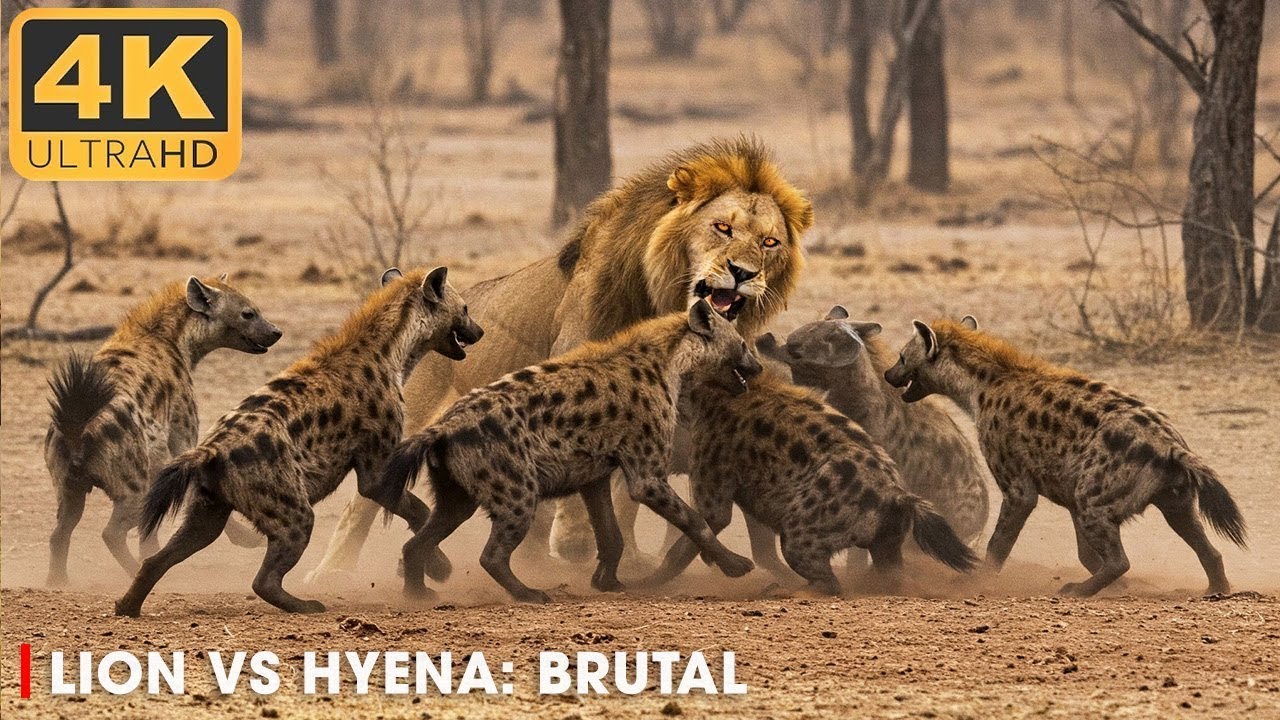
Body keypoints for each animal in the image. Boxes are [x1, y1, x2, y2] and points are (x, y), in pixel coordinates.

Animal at [305, 136, 813, 582]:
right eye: (722, 228)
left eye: (770, 243)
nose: (742, 273)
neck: (664, 303)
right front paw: (577, 545)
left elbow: (628, 497)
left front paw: (630, 558)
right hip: (415, 415)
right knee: (362, 499)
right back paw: (334, 570)